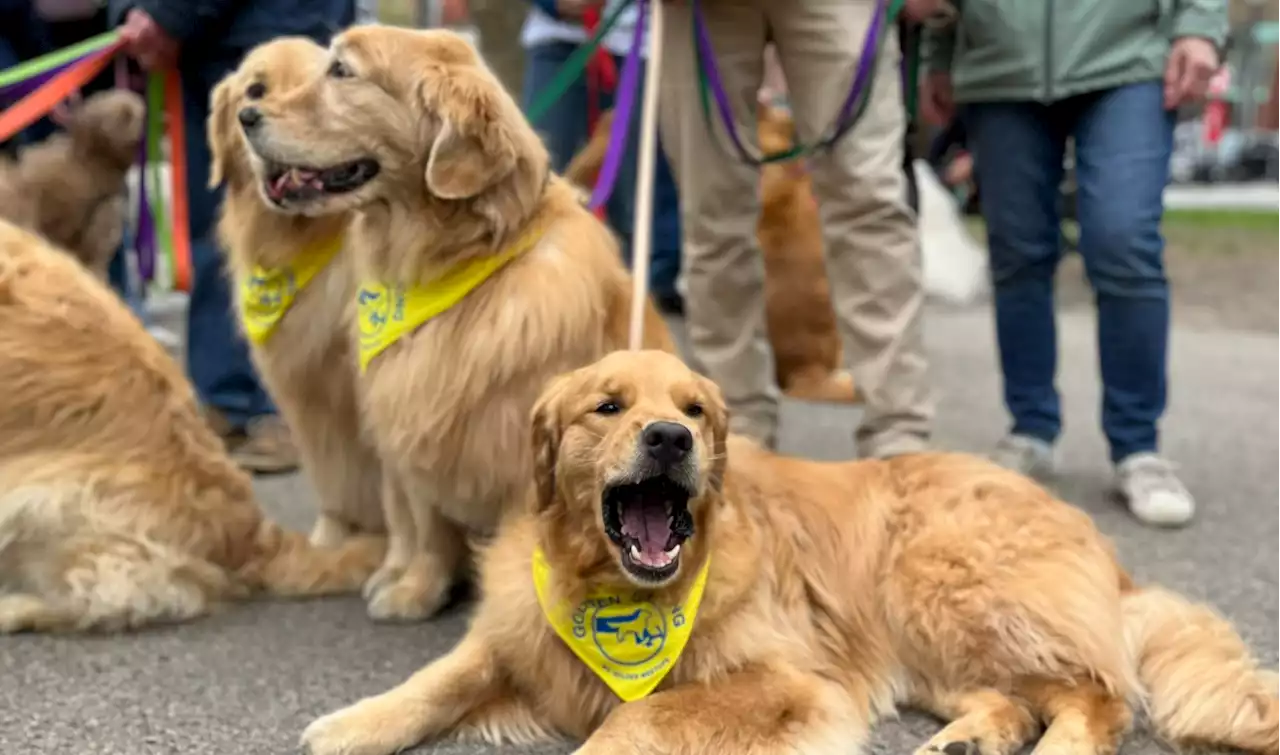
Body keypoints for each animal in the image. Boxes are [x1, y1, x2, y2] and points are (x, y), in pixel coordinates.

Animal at [231, 26, 680, 624]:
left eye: (342, 71)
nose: (246, 116)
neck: (450, 266)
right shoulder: (414, 423)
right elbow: (426, 526)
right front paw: (416, 590)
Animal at [302, 353, 1280, 755]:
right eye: (608, 406)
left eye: (693, 409)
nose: (669, 438)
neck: (617, 591)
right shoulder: (518, 633)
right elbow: (438, 679)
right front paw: (352, 723)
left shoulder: (792, 682)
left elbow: (638, 720)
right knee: (1016, 697)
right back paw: (965, 741)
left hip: (942, 588)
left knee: (1095, 697)